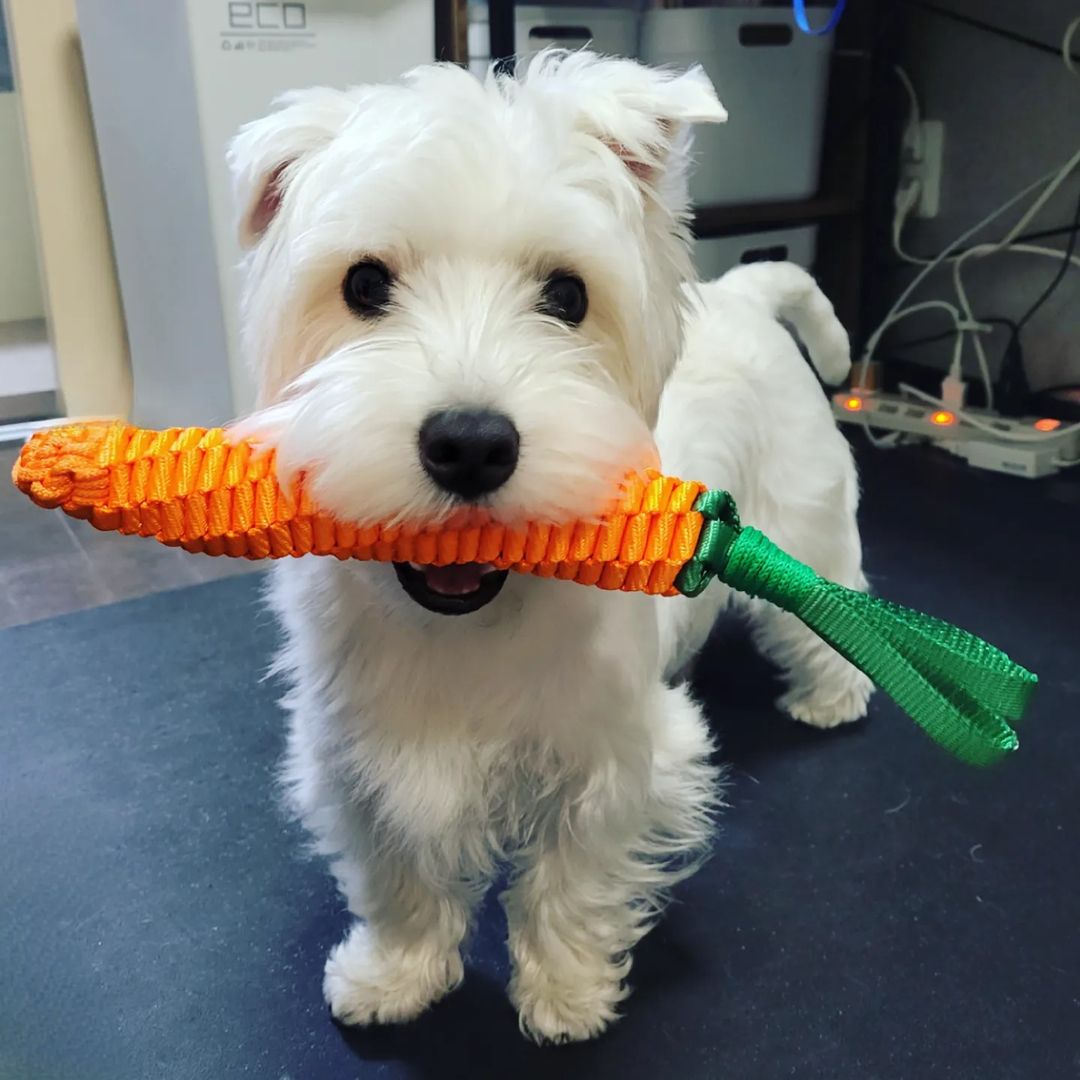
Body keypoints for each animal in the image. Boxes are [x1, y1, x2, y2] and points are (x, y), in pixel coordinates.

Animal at [227, 52, 868, 1045]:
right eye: (364, 285)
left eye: (567, 297)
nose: (470, 444)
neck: (467, 623)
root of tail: (742, 293)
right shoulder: (357, 758)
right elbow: (396, 879)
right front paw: (394, 976)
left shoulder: (619, 756)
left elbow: (572, 882)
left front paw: (565, 997)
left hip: (804, 528)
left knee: (832, 606)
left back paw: (832, 698)